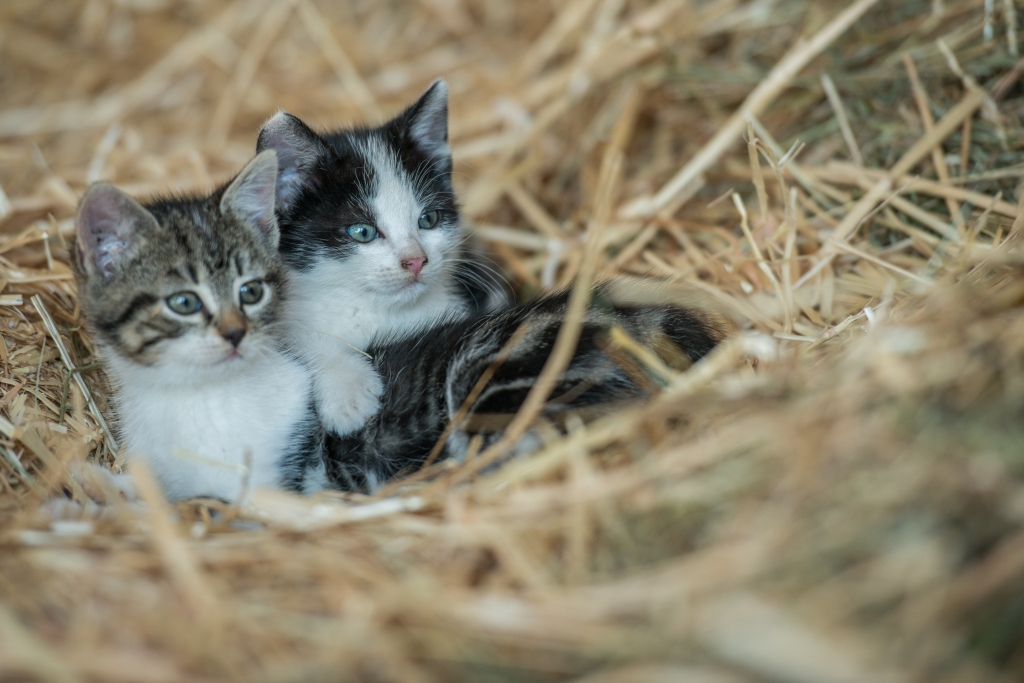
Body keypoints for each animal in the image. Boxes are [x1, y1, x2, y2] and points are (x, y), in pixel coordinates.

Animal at [253, 77, 505, 436]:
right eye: (363, 231)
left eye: (429, 219)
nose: (416, 261)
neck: (378, 313)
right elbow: (304, 341)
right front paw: (349, 393)